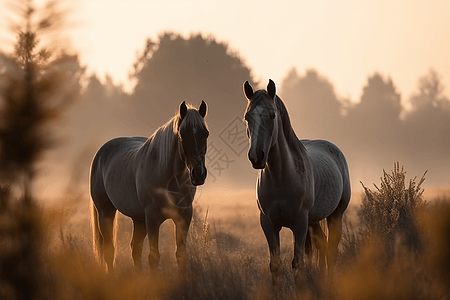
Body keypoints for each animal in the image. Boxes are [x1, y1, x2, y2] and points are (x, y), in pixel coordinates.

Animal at [89, 101, 209, 274]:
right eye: (182, 134)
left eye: (205, 133)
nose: (198, 174)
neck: (171, 180)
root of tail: (101, 153)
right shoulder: (152, 217)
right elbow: (153, 257)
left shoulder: (184, 216)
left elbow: (180, 255)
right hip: (106, 212)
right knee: (109, 250)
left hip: (139, 219)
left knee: (135, 249)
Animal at [243, 79, 352, 282]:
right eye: (247, 117)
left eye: (272, 115)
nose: (256, 157)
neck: (281, 178)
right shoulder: (268, 224)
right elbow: (275, 264)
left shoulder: (299, 224)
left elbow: (298, 263)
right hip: (314, 220)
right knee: (322, 245)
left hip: (335, 216)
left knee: (331, 251)